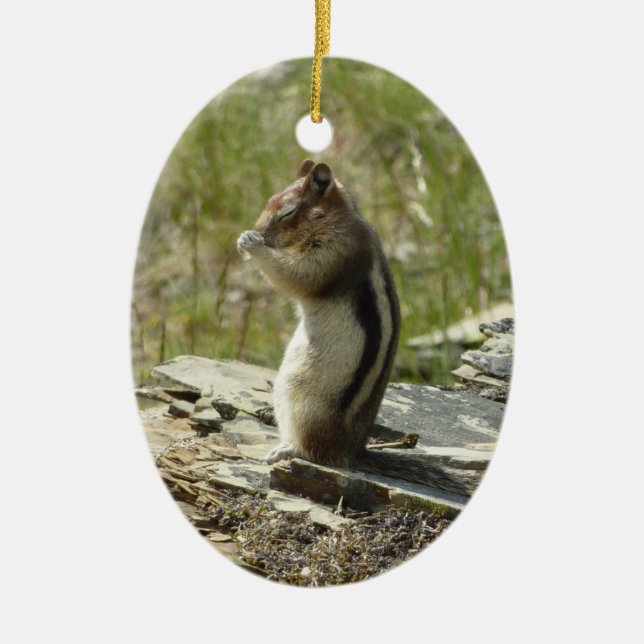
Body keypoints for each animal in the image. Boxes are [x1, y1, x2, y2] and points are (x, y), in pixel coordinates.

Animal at [236, 160, 466, 492]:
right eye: (269, 201)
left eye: (287, 213)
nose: (258, 232)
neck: (335, 219)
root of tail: (352, 451)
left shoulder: (335, 252)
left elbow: (299, 275)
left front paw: (252, 244)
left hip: (298, 398)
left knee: (313, 452)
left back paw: (285, 449)